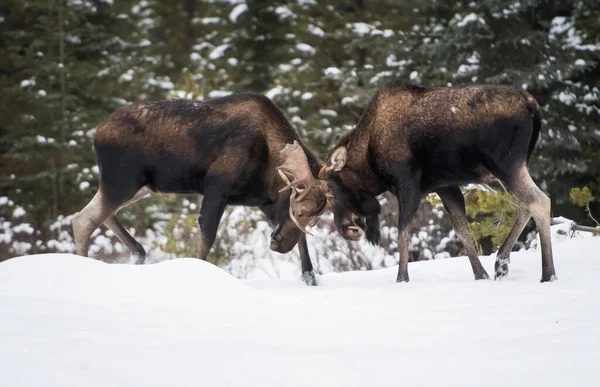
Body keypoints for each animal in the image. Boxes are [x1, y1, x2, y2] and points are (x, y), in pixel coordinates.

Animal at [75, 93, 330, 284]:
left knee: (97, 215)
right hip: (122, 182)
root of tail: (96, 134)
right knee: (84, 220)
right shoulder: (217, 187)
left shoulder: (263, 203)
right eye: (297, 209)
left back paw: (137, 253)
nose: (279, 244)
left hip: (141, 186)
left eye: (315, 219)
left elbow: (303, 243)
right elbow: (207, 237)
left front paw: (310, 279)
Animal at [318, 82, 556, 282]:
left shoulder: (407, 183)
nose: (346, 229)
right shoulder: (445, 186)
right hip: (512, 167)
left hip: (505, 163)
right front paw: (480, 274)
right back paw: (502, 262)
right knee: (524, 204)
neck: (369, 165)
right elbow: (462, 230)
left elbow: (403, 231)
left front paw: (401, 279)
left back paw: (547, 274)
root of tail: (532, 104)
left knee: (539, 201)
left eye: (330, 192)